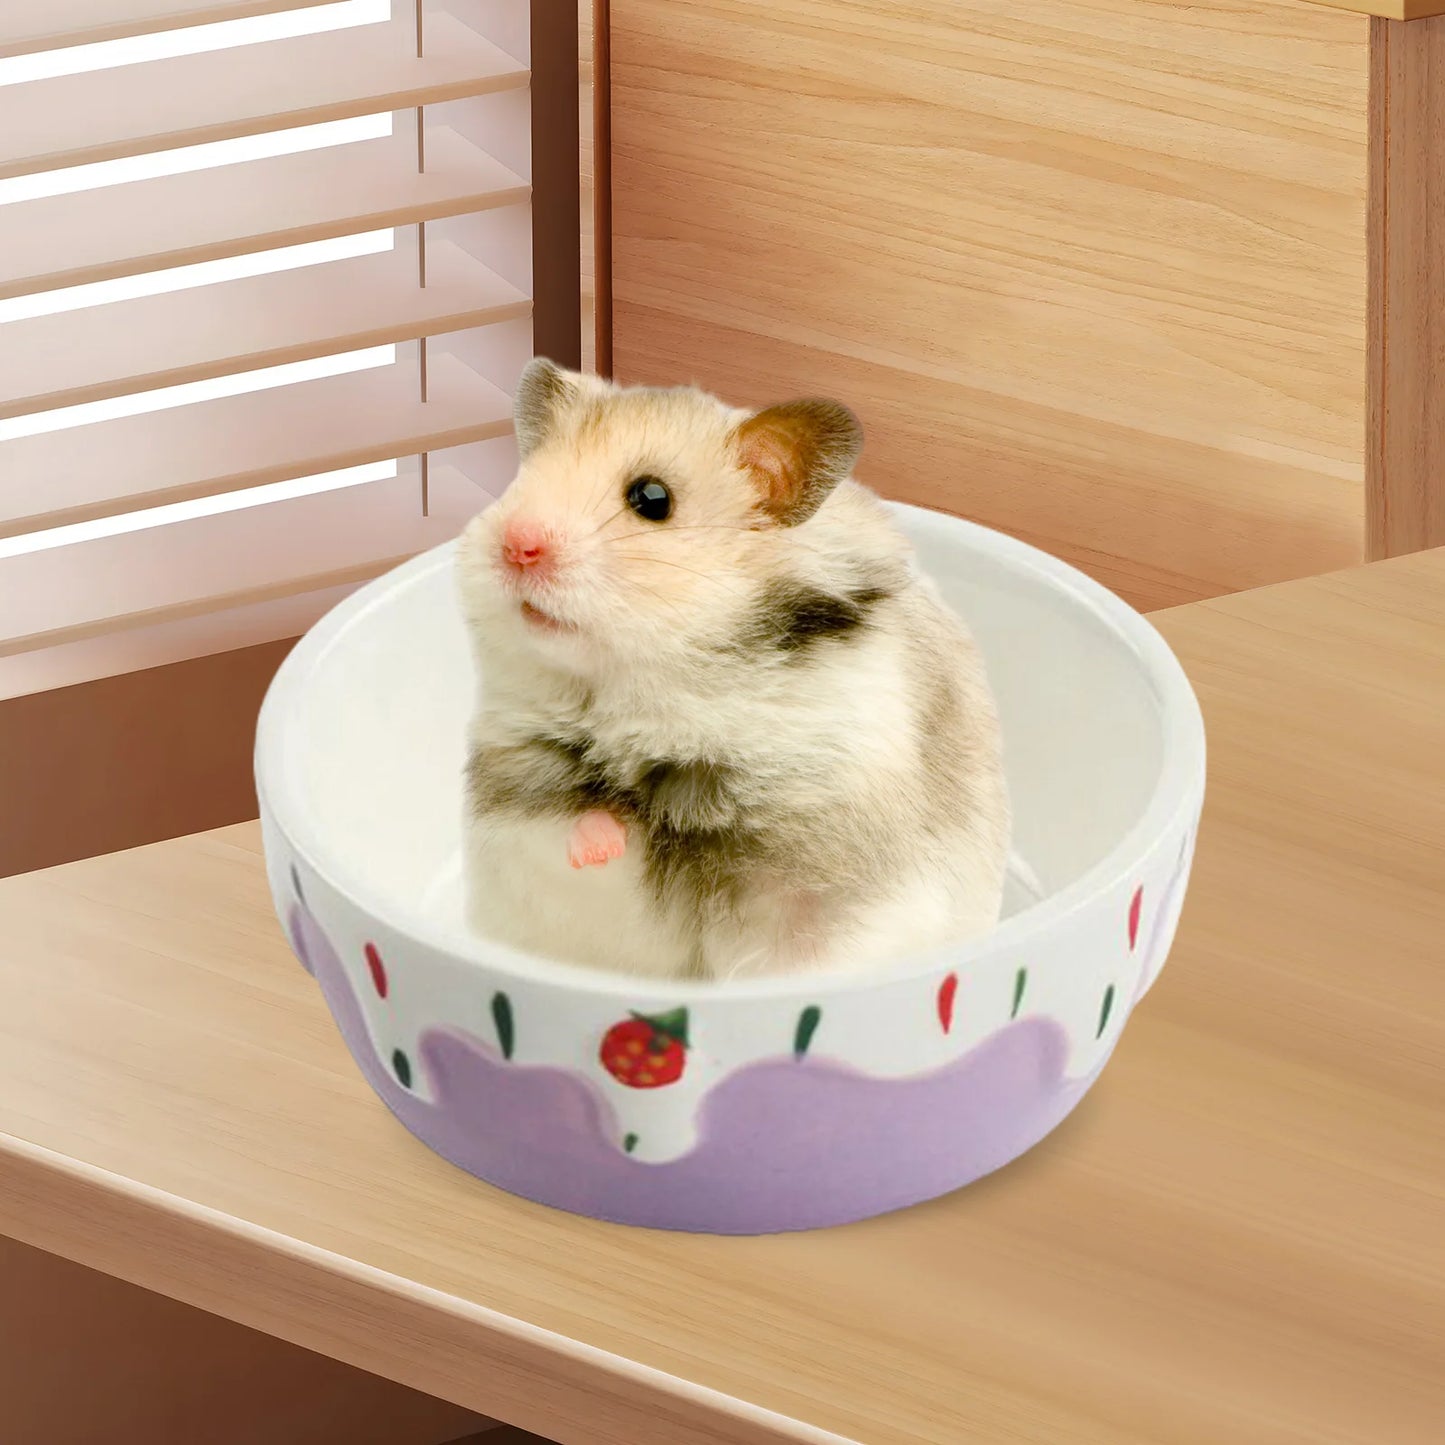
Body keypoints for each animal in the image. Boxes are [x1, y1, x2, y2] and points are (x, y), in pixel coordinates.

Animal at [454, 358, 1009, 981]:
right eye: (522, 478)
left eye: (652, 498)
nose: (516, 545)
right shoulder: (520, 789)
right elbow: (573, 822)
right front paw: (601, 843)